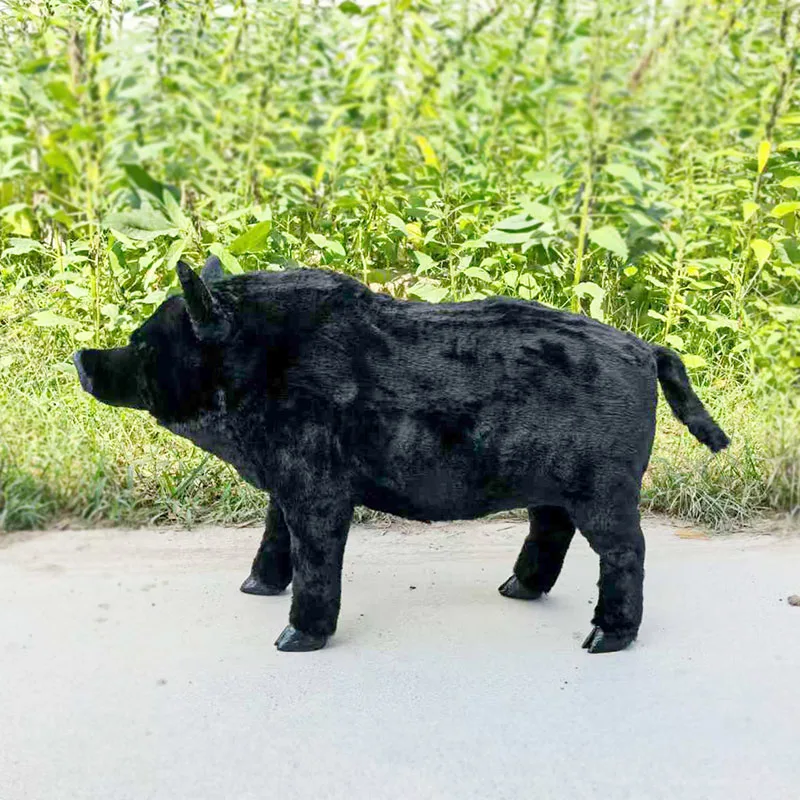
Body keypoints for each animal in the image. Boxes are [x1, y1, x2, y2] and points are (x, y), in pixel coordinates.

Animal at [73, 256, 729, 653]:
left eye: (141, 344)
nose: (82, 358)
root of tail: (647, 349)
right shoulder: (286, 479)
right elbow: (274, 533)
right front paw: (253, 589)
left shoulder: (317, 484)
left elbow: (315, 552)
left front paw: (291, 640)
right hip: (554, 483)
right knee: (551, 528)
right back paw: (513, 591)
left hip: (606, 486)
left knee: (626, 549)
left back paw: (601, 640)